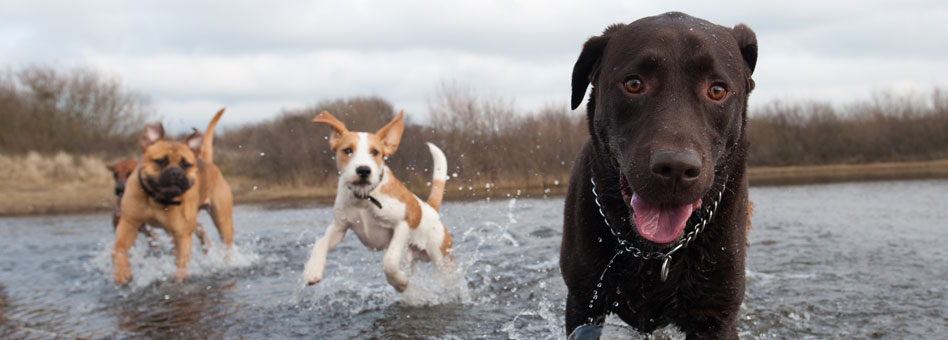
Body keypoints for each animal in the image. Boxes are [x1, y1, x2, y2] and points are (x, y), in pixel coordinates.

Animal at [304, 111, 452, 292]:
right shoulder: (339, 226)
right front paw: (312, 270)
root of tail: (430, 207)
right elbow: (321, 242)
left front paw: (399, 282)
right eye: (347, 150)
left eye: (375, 152)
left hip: (443, 260)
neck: (364, 197)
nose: (363, 170)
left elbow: (389, 260)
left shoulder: (402, 224)